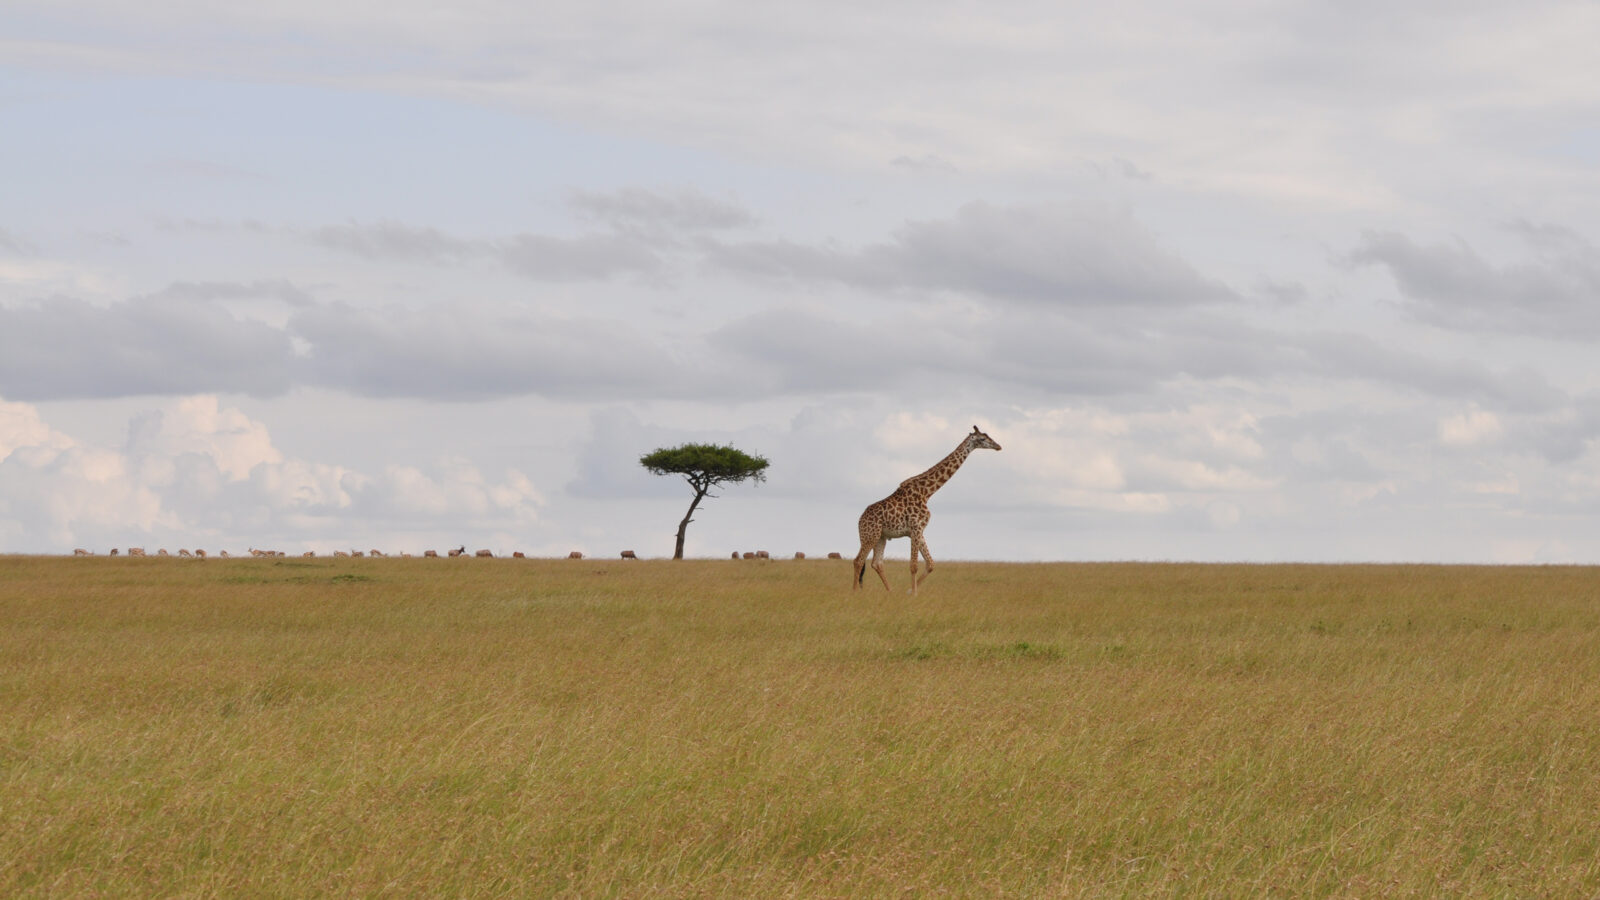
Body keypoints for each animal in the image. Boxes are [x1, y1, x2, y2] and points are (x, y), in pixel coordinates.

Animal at [853, 425, 1001, 595]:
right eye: (982, 439)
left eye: (988, 436)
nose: (998, 446)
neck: (927, 493)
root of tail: (860, 520)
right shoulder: (915, 528)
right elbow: (913, 565)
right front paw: (914, 594)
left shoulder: (919, 530)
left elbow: (930, 564)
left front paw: (909, 591)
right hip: (870, 535)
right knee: (858, 561)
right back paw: (854, 592)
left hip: (881, 537)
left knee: (877, 563)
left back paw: (890, 592)